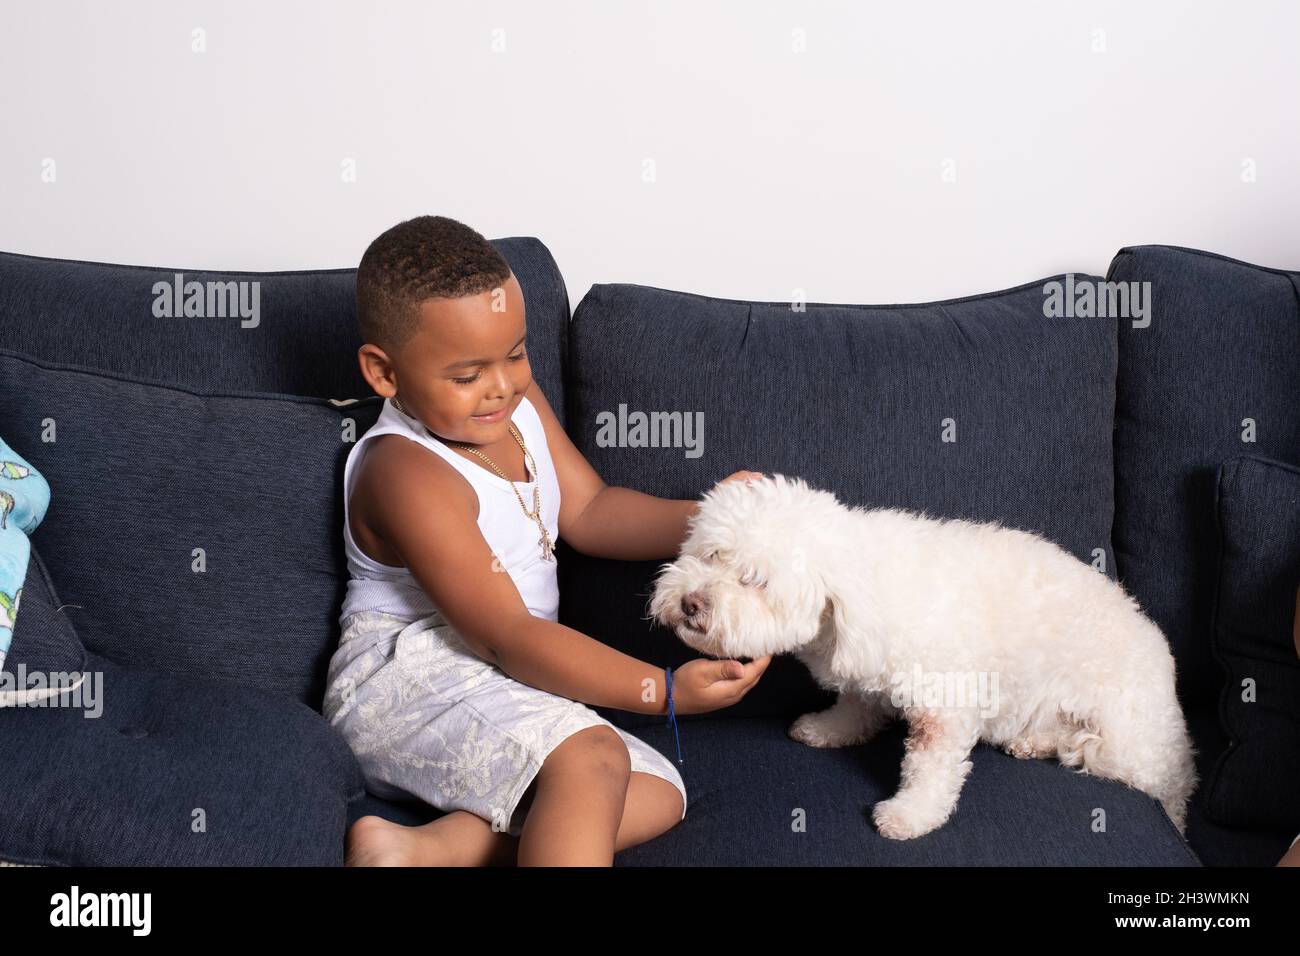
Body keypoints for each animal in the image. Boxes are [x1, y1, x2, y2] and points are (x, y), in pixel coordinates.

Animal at [650, 476, 1196, 842]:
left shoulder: (945, 707)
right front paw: (831, 729)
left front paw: (910, 815)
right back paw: (1032, 741)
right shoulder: (862, 668)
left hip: (1129, 744)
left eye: (756, 581)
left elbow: (929, 766)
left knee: (1125, 764)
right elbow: (856, 705)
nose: (691, 603)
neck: (858, 586)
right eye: (710, 554)